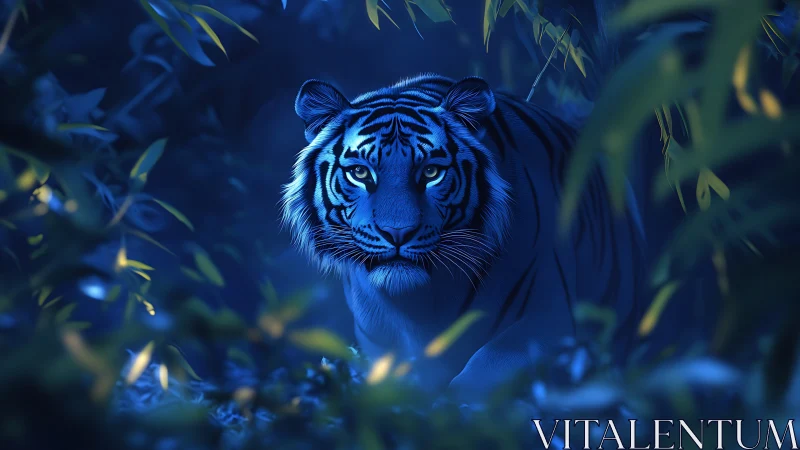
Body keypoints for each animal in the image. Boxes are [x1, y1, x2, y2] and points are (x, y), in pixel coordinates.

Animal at [280, 73, 645, 401]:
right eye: (360, 172)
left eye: (431, 172)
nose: (397, 232)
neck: (419, 304)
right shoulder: (380, 347)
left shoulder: (546, 316)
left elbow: (480, 375)